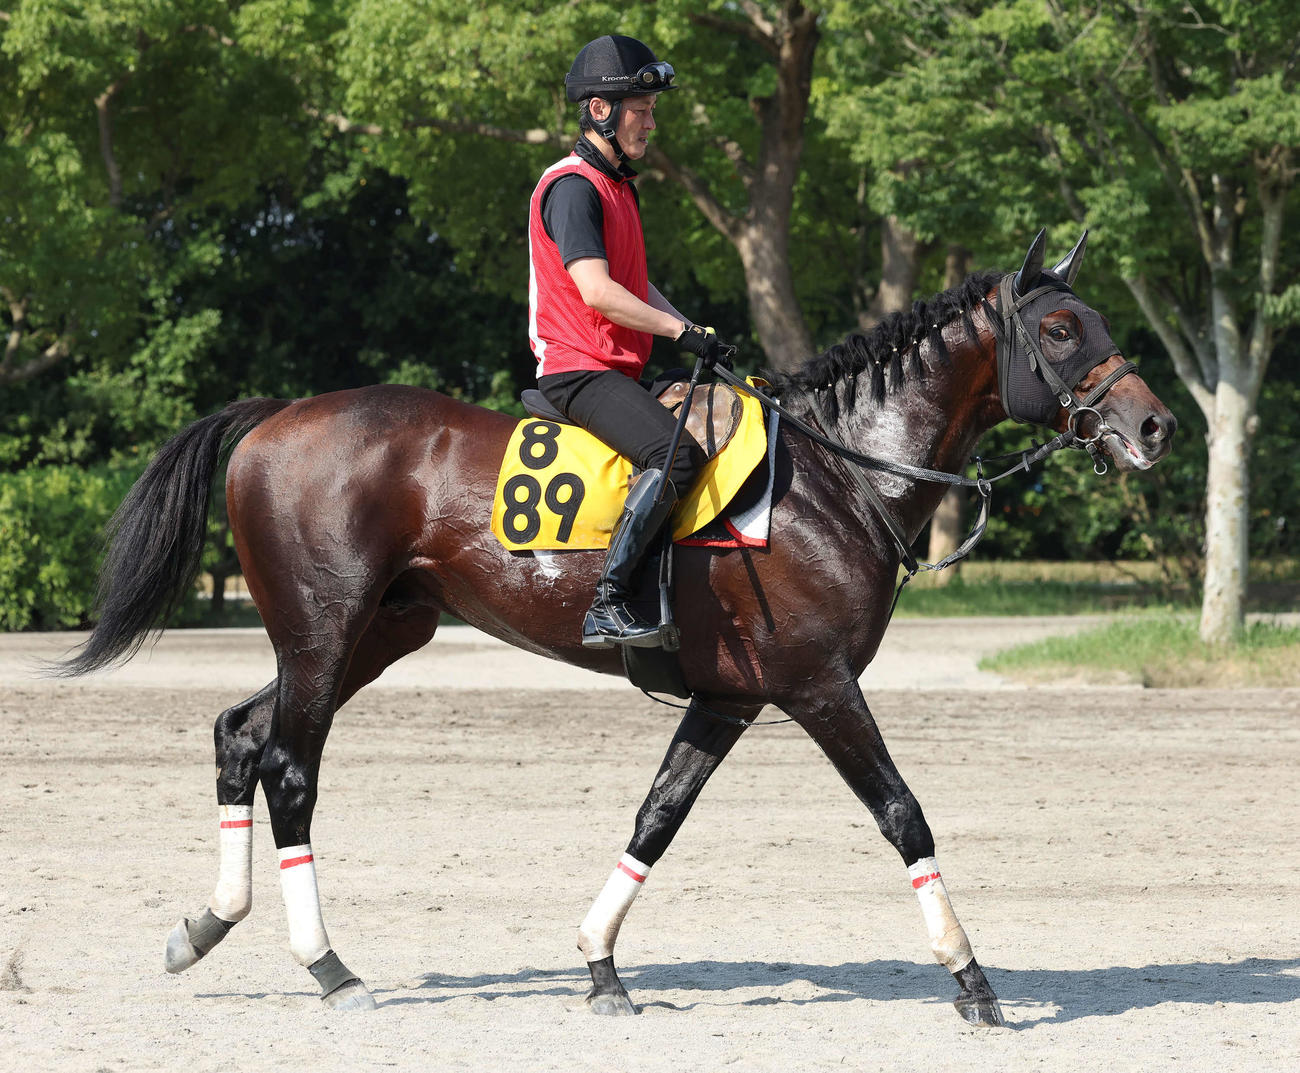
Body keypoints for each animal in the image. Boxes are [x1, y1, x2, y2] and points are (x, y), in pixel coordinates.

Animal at [58, 231, 1175, 1024]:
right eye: (1062, 328)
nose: (1154, 425)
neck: (834, 471)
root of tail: (278, 415)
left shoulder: (729, 698)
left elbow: (656, 816)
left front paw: (600, 963)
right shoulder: (820, 687)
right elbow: (904, 815)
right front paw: (972, 977)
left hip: (369, 635)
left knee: (241, 734)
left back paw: (204, 925)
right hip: (324, 634)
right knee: (289, 766)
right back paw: (330, 967)